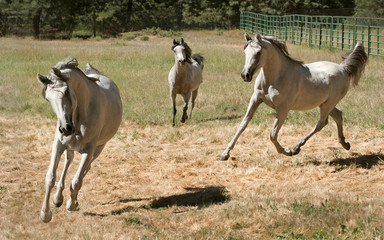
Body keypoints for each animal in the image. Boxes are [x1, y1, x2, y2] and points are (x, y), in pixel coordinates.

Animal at [37, 57, 122, 222]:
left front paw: (71, 205)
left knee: (85, 170)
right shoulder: (58, 144)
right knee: (68, 161)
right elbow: (50, 177)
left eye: (66, 91)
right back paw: (58, 198)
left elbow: (76, 181)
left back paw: (72, 201)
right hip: (70, 146)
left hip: (98, 149)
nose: (65, 129)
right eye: (48, 98)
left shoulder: (88, 150)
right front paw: (45, 213)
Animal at [219, 32, 366, 160]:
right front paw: (225, 154)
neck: (275, 78)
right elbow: (242, 125)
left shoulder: (283, 109)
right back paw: (345, 144)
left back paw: (296, 148)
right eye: (245, 52)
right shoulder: (255, 99)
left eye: (258, 52)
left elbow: (273, 134)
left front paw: (286, 151)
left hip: (327, 105)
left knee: (322, 123)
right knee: (338, 116)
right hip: (325, 104)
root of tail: (343, 68)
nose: (245, 75)